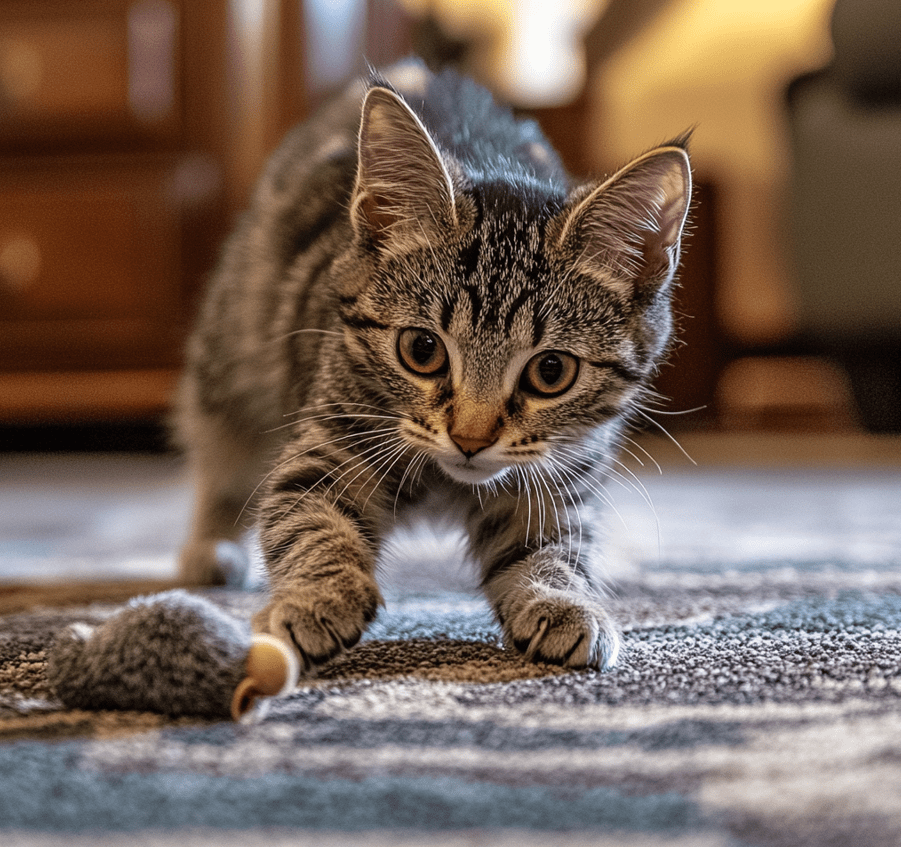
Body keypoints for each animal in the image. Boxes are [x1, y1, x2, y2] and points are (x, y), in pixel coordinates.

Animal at [172, 59, 692, 676]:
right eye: (422, 350)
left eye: (551, 372)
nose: (470, 438)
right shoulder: (330, 435)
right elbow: (307, 517)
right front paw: (318, 598)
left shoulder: (555, 477)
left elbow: (547, 546)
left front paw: (563, 599)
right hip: (234, 346)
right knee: (221, 449)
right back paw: (212, 546)